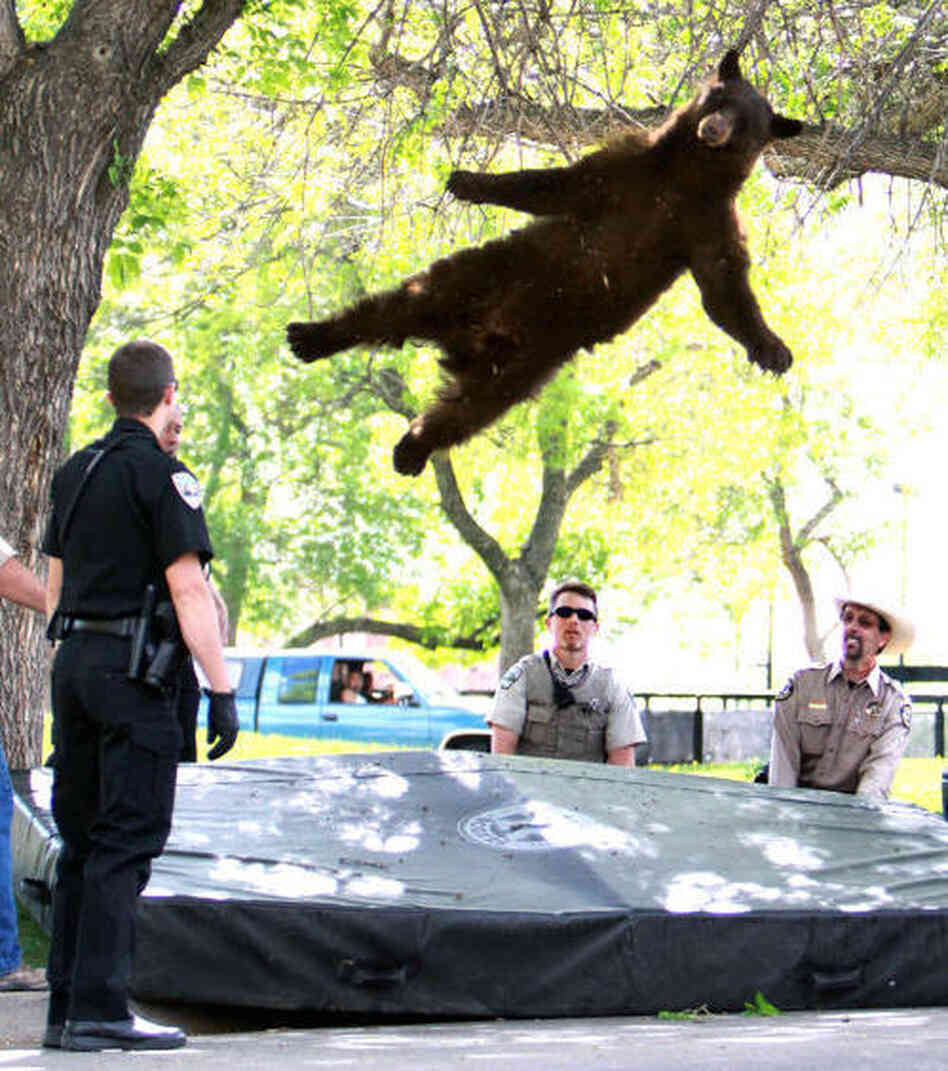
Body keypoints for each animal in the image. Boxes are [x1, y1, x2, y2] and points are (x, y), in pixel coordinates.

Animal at [287, 50, 803, 476]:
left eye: (746, 122)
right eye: (721, 97)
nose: (714, 127)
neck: (685, 176)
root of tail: (469, 341)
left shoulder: (707, 222)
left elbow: (723, 286)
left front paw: (773, 349)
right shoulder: (627, 169)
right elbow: (554, 185)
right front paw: (468, 180)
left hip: (528, 363)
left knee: (467, 410)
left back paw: (410, 449)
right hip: (480, 276)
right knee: (395, 307)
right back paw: (314, 336)